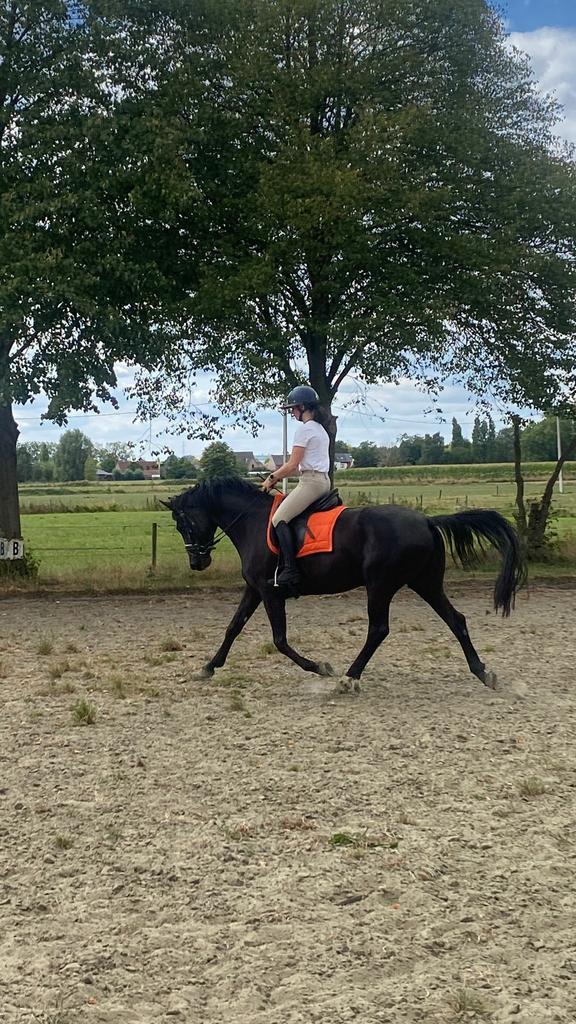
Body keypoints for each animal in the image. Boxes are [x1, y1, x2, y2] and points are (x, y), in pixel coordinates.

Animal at [164, 476, 526, 692]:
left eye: (184, 523)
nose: (197, 563)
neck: (252, 521)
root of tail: (425, 520)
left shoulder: (270, 592)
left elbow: (279, 640)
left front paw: (320, 667)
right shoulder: (254, 589)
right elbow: (233, 628)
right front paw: (209, 667)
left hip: (380, 585)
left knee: (379, 629)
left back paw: (350, 677)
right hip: (425, 583)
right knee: (456, 620)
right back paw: (483, 672)